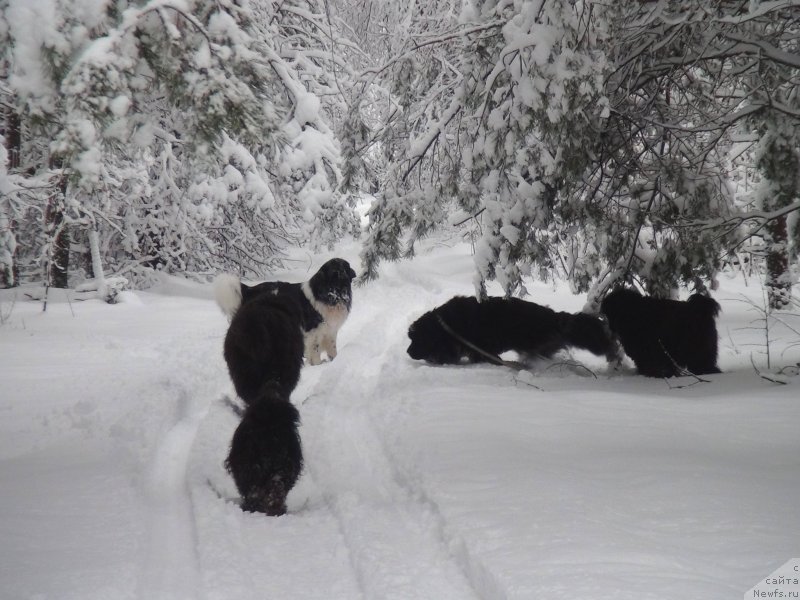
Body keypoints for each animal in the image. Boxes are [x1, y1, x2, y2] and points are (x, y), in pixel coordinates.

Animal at [212, 255, 356, 364]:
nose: (344, 275)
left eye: (345, 267)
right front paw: (317, 365)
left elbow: (332, 349)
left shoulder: (330, 330)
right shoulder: (313, 332)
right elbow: (315, 353)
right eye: (334, 272)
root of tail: (250, 290)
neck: (331, 295)